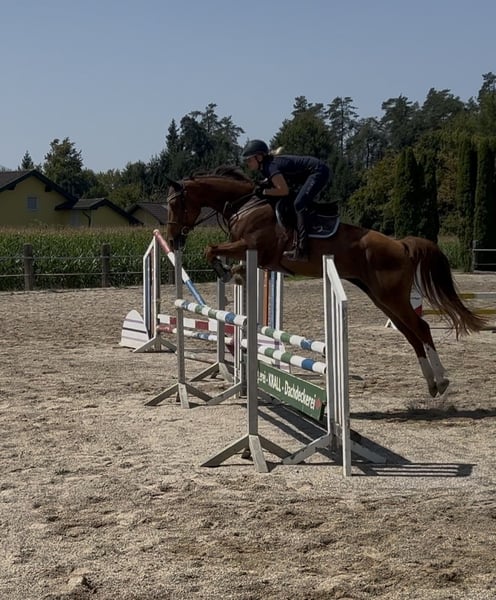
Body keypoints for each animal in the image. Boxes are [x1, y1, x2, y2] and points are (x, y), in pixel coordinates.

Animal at [164, 166, 487, 398]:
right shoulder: (252, 253)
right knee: (411, 333)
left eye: (176, 204)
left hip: (391, 296)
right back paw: (432, 384)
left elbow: (211, 249)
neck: (246, 204)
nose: (172, 238)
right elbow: (224, 256)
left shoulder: (253, 246)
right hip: (380, 297)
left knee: (421, 327)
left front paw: (224, 271)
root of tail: (401, 244)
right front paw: (235, 274)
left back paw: (442, 380)